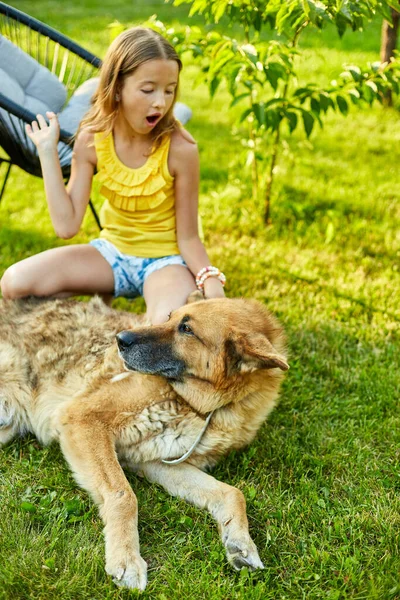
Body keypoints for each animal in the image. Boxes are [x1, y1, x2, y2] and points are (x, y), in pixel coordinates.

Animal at [0, 296, 288, 592]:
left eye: (186, 329)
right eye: (170, 317)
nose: (119, 339)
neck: (204, 408)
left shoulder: (155, 461)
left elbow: (233, 492)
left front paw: (240, 542)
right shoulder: (83, 419)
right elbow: (123, 495)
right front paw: (126, 559)